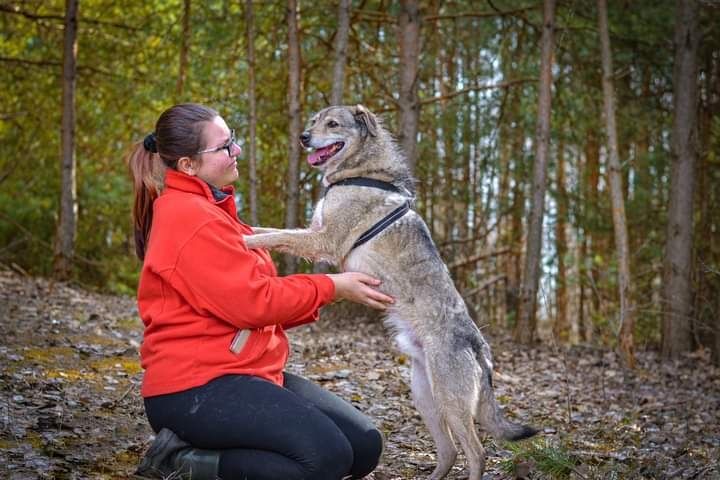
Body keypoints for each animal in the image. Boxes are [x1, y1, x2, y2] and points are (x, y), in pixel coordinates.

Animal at [245, 106, 536, 480]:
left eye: (332, 124)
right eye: (312, 121)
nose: (303, 138)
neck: (360, 171)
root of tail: (480, 349)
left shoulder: (322, 239)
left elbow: (274, 234)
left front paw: (244, 238)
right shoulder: (314, 232)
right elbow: (269, 229)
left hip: (451, 402)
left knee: (477, 452)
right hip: (425, 397)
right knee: (449, 451)